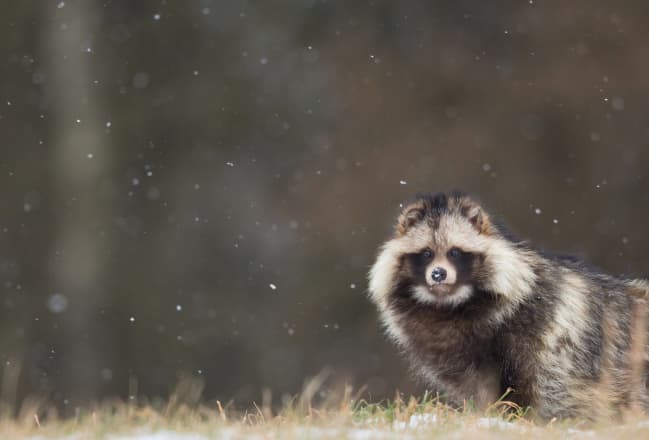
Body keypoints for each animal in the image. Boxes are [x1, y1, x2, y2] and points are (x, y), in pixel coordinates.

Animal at [368, 191, 649, 420]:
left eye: (455, 252)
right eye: (426, 253)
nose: (438, 274)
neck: (453, 306)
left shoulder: (534, 331)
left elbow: (530, 389)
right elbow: (478, 391)